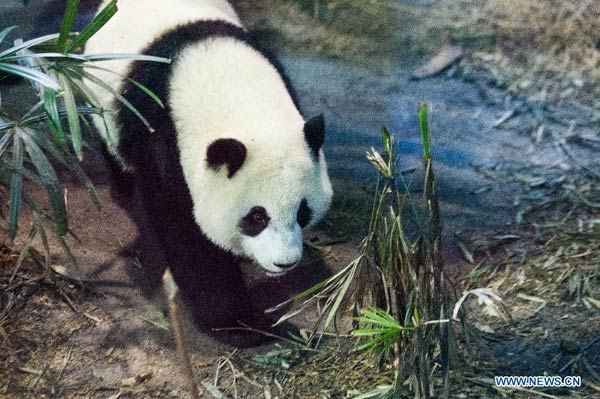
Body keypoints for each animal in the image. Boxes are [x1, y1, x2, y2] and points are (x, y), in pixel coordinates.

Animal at [81, 0, 332, 344]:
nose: (285, 262)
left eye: (302, 212)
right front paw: (241, 323)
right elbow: (186, 236)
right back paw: (122, 185)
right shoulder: (165, 142)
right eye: (257, 217)